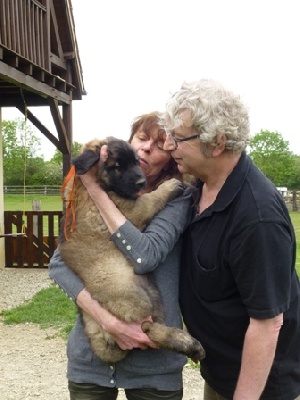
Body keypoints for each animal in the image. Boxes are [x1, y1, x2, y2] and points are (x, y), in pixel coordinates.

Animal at [59, 137, 204, 362]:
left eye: (136, 162)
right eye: (118, 166)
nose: (141, 183)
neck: (93, 184)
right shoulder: (131, 210)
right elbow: (151, 199)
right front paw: (171, 185)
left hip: (150, 293)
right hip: (134, 298)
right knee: (147, 329)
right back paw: (187, 343)